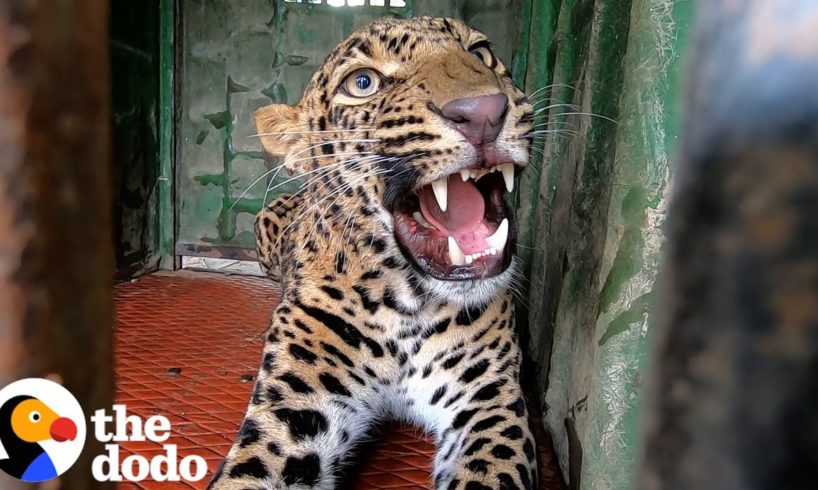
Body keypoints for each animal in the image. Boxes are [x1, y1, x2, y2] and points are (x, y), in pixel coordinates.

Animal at [209, 16, 538, 490]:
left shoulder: (489, 401)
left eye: (481, 53)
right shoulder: (293, 412)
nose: (483, 111)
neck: (408, 305)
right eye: (362, 83)